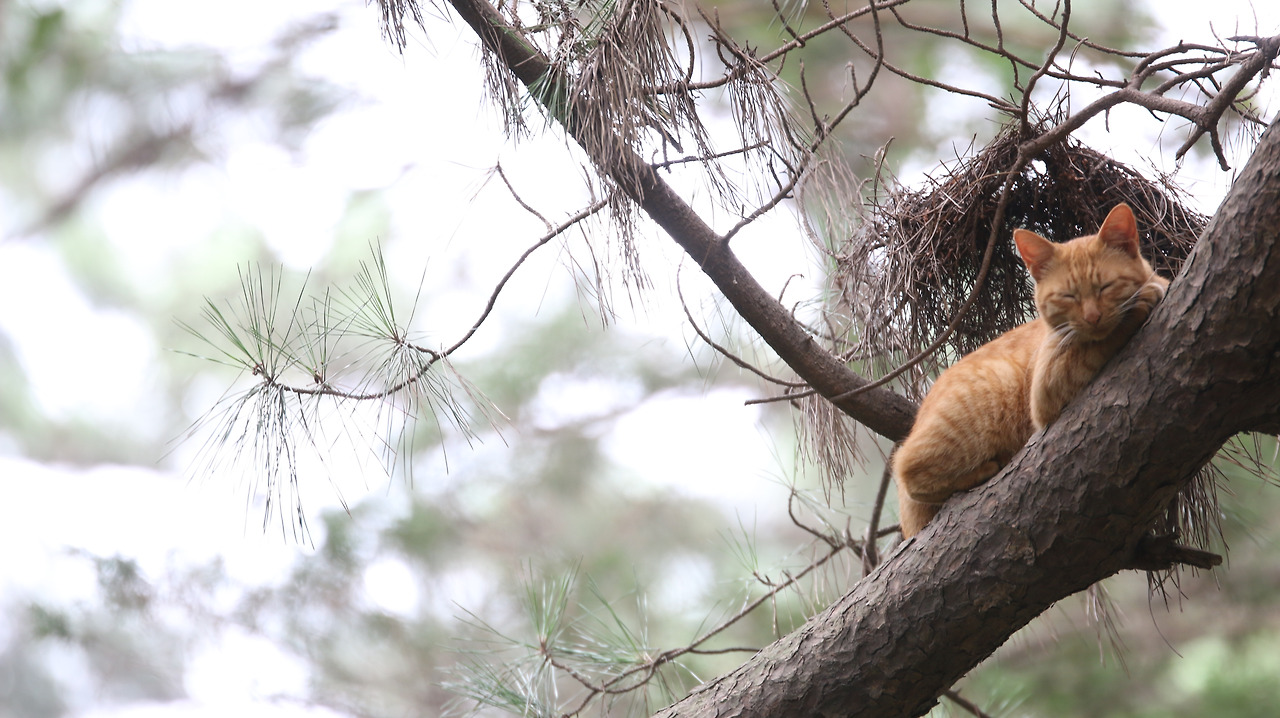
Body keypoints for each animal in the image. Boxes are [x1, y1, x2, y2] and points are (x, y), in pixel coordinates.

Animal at [890, 204, 1172, 534]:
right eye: (1068, 296)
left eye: (1106, 287)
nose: (1093, 317)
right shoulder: (1047, 389)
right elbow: (1101, 340)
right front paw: (1142, 300)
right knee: (906, 467)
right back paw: (984, 468)